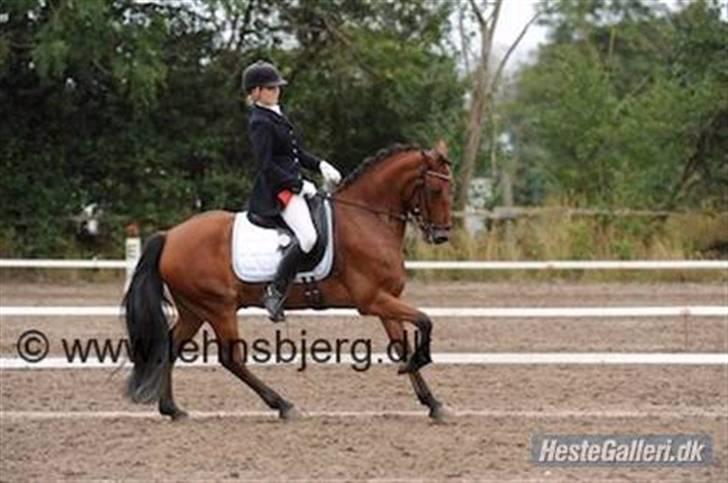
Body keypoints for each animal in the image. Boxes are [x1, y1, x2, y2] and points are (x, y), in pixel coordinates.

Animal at [122, 141, 455, 422]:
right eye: (436, 190)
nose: (441, 236)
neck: (367, 219)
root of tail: (170, 235)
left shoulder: (387, 299)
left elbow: (402, 343)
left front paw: (433, 402)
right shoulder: (372, 299)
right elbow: (425, 321)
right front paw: (418, 364)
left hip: (195, 309)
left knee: (170, 346)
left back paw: (172, 409)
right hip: (218, 307)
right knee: (231, 358)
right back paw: (283, 405)